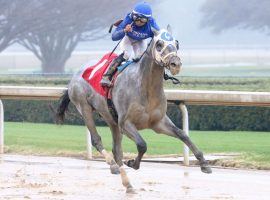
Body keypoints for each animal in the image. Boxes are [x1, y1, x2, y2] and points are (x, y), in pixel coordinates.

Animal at [56, 27, 212, 192]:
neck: (146, 87)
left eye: (176, 43)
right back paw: (113, 166)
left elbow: (183, 134)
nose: (175, 64)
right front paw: (133, 163)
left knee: (117, 150)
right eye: (159, 44)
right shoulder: (126, 123)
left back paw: (127, 183)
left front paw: (204, 163)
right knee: (97, 140)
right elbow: (142, 144)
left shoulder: (158, 123)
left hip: (111, 119)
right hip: (84, 107)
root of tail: (76, 74)